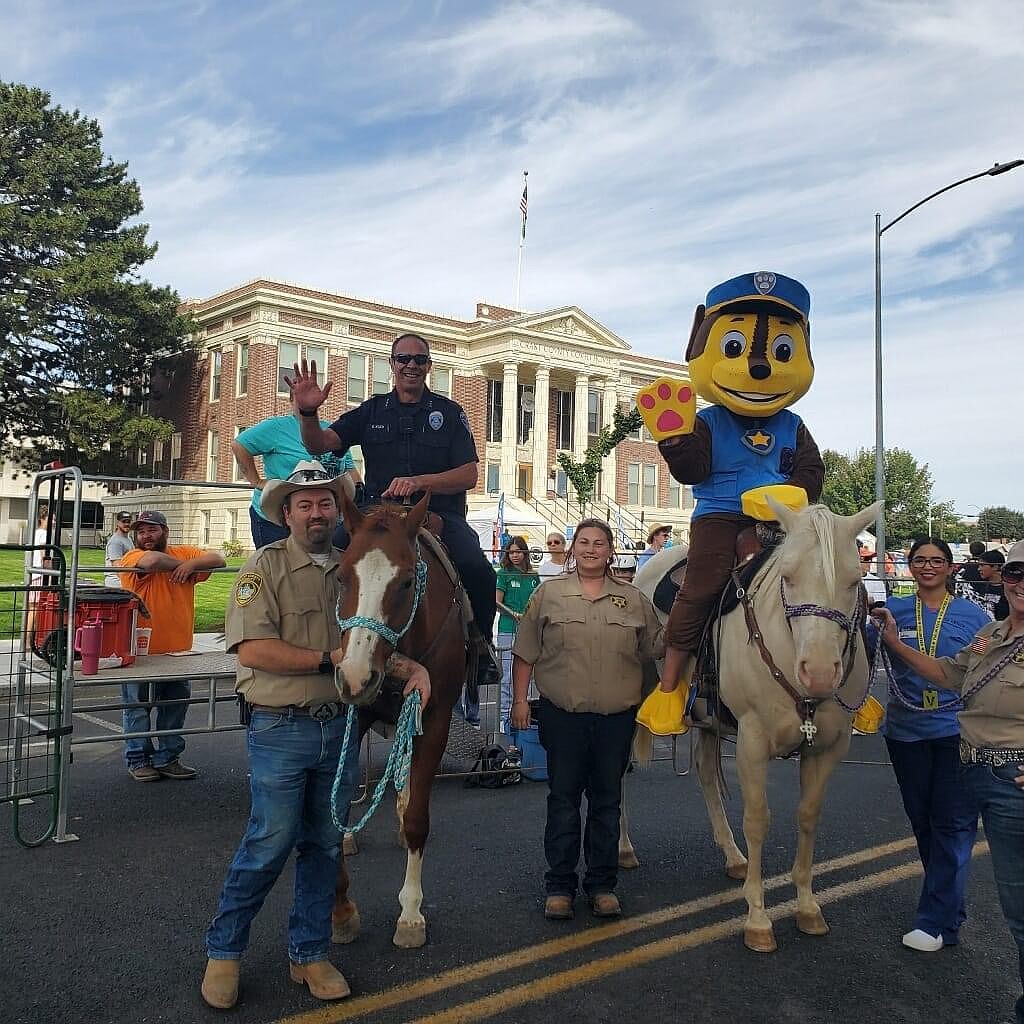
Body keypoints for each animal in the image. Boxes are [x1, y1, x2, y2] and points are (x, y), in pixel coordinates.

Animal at [329, 491, 468, 946]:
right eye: (341, 577)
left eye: (407, 582)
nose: (356, 676)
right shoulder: (351, 719)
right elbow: (332, 809)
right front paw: (340, 909)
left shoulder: (436, 718)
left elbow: (418, 818)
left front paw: (410, 913)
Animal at [630, 501, 880, 950]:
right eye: (788, 576)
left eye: (855, 579)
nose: (819, 673)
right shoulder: (752, 741)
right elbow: (758, 819)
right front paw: (759, 918)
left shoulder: (829, 747)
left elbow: (808, 815)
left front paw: (807, 907)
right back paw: (622, 850)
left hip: (709, 721)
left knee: (705, 774)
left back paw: (732, 855)